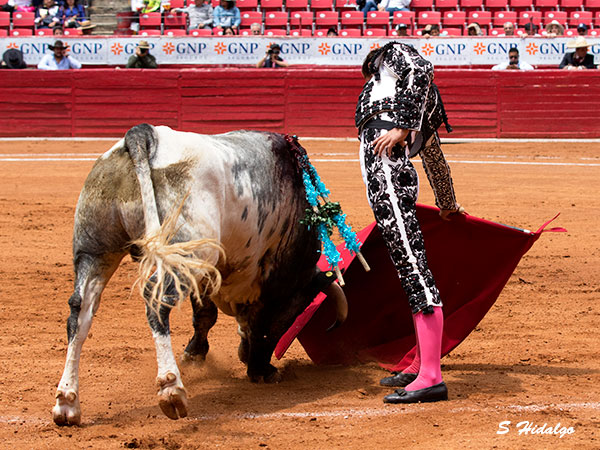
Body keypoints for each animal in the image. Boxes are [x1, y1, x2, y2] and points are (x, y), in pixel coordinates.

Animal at [55, 124, 352, 426]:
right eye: (293, 315)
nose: (249, 359)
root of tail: (145, 135)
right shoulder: (270, 281)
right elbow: (257, 325)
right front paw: (261, 370)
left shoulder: (210, 272)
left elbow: (205, 315)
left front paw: (195, 354)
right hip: (183, 256)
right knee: (156, 304)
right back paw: (171, 390)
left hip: (94, 251)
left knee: (79, 313)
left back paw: (67, 402)